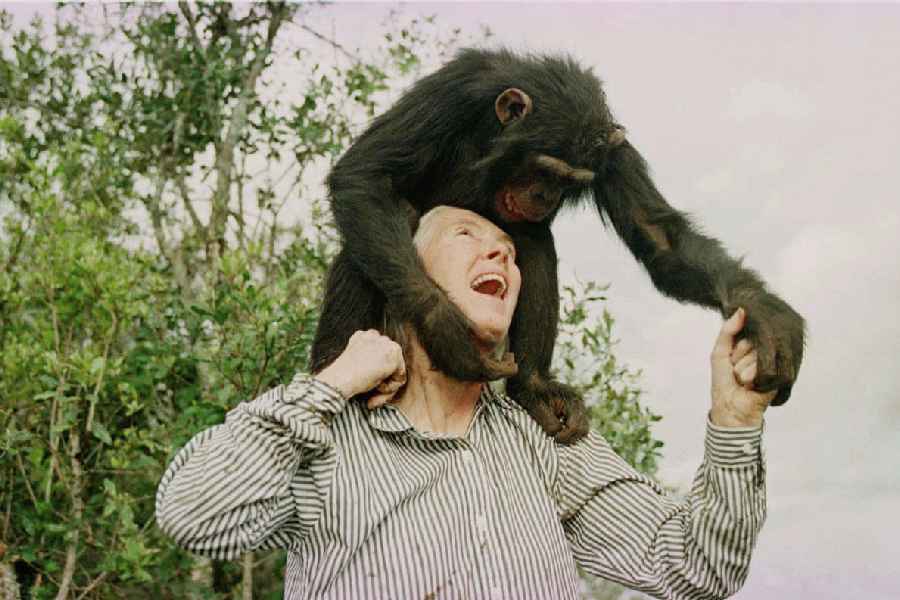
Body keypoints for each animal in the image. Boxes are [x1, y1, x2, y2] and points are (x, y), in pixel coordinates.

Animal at [308, 48, 805, 443]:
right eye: (544, 169)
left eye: (569, 181)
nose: (544, 196)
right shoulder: (451, 91)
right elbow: (366, 174)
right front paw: (446, 332)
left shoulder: (613, 153)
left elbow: (659, 236)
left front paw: (765, 314)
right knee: (370, 242)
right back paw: (332, 368)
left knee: (534, 242)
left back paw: (533, 386)